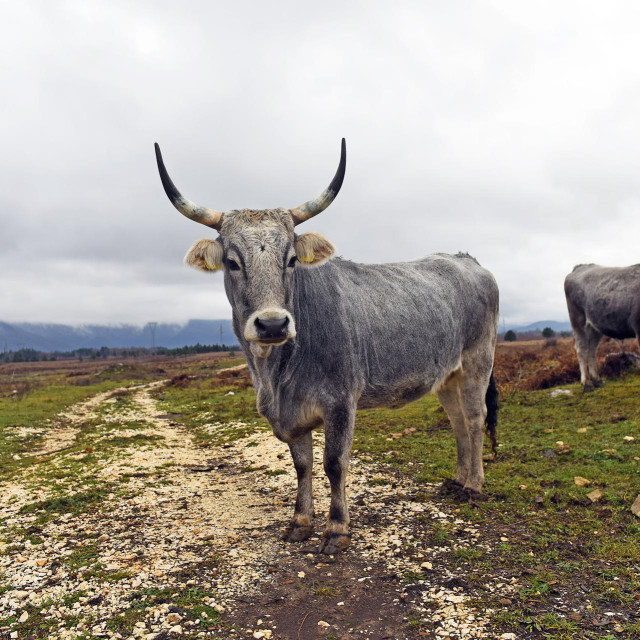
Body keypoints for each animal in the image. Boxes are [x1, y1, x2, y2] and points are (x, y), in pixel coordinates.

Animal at [154, 138, 500, 552]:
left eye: (291, 259)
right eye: (233, 263)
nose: (273, 323)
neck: (277, 373)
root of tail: (469, 261)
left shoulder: (340, 402)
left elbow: (334, 463)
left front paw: (337, 528)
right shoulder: (291, 415)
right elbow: (301, 465)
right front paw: (300, 522)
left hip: (478, 360)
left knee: (476, 416)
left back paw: (474, 485)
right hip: (447, 375)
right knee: (459, 420)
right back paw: (458, 480)